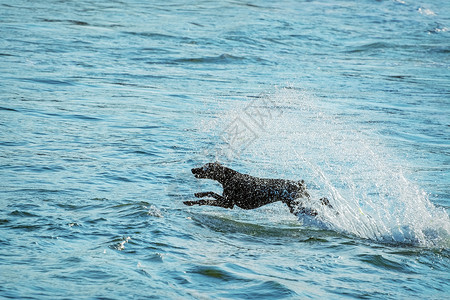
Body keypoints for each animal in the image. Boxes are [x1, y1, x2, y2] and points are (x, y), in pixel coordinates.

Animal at [182, 163, 330, 217]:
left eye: (205, 167)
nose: (193, 169)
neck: (229, 177)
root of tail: (300, 183)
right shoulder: (227, 201)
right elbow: (210, 193)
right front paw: (197, 194)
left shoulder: (228, 203)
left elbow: (206, 200)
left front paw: (191, 202)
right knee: (322, 200)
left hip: (297, 204)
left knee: (320, 203)